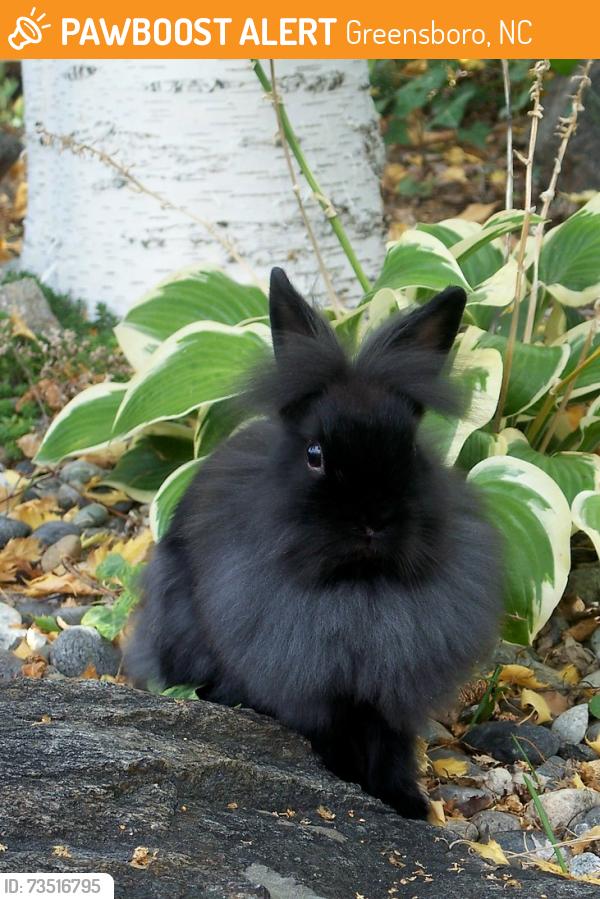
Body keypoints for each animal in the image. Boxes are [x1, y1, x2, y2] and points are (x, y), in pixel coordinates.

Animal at [125, 267, 502, 819]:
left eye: (410, 449)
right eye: (315, 454)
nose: (373, 521)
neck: (359, 588)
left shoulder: (389, 689)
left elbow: (392, 746)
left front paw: (407, 804)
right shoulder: (309, 687)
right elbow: (329, 735)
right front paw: (348, 783)